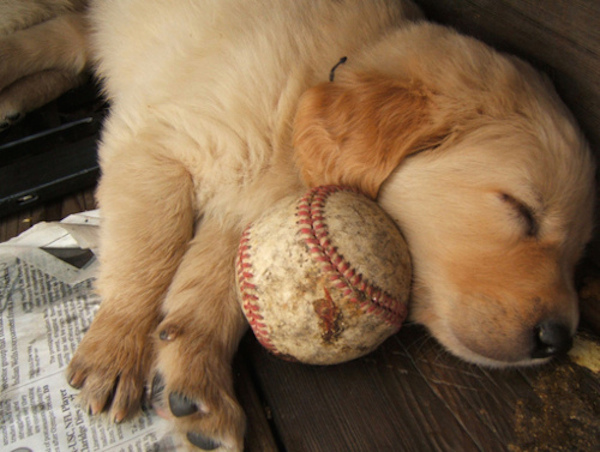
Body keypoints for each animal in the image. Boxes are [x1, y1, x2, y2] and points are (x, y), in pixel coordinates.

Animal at [3, 0, 596, 448]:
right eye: (520, 210)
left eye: (577, 255)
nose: (558, 339)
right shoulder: (156, 143)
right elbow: (150, 248)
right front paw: (118, 346)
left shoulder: (247, 204)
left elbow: (213, 286)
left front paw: (196, 380)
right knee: (58, 31)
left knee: (75, 36)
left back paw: (16, 97)